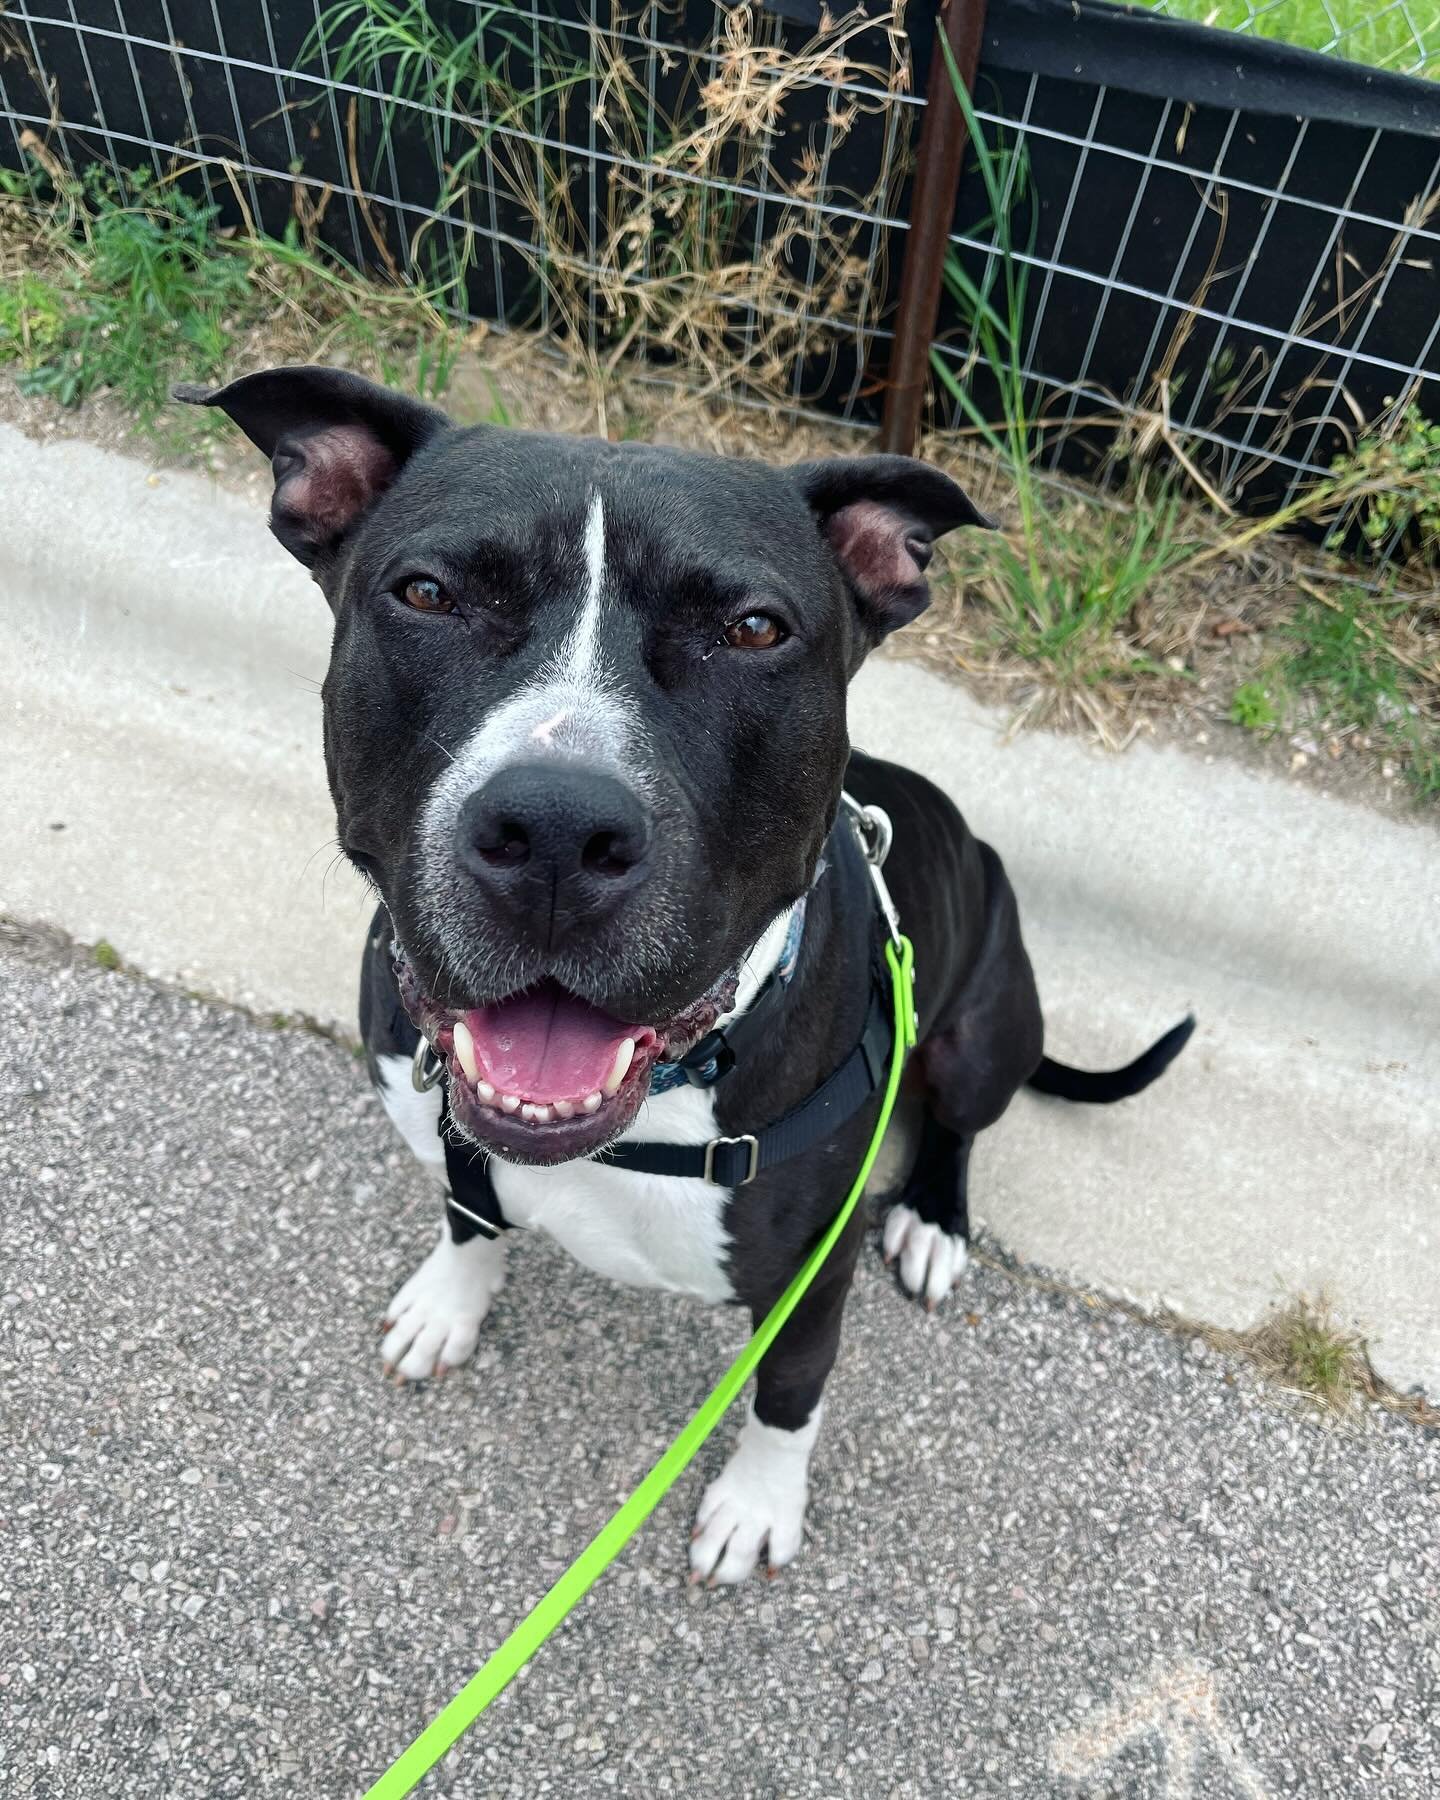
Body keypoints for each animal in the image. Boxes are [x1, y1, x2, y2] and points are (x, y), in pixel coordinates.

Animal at [180, 372, 1195, 1584]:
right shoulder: (455, 1147)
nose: (555, 831)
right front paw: (449, 1304)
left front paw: (758, 1505)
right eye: (426, 593)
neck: (657, 1104)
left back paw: (935, 1223)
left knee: (958, 1124)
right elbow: (470, 1219)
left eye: (752, 629)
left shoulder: (810, 1281)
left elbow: (789, 1394)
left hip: (983, 1027)